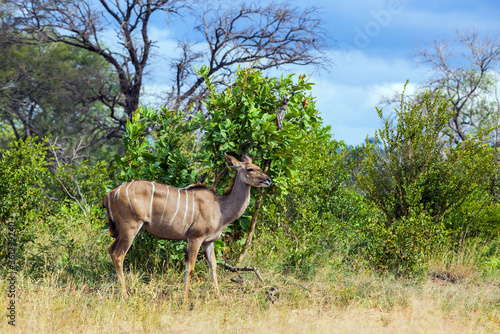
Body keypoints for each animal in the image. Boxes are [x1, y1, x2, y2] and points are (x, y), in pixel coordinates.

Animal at [102, 153, 270, 298]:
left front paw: (219, 296)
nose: (268, 180)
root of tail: (109, 194)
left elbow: (213, 266)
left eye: (258, 166)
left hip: (121, 232)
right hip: (130, 228)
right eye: (249, 169)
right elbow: (190, 266)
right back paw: (125, 295)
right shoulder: (195, 237)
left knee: (110, 249)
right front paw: (185, 298)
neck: (220, 208)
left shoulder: (208, 241)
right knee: (118, 255)